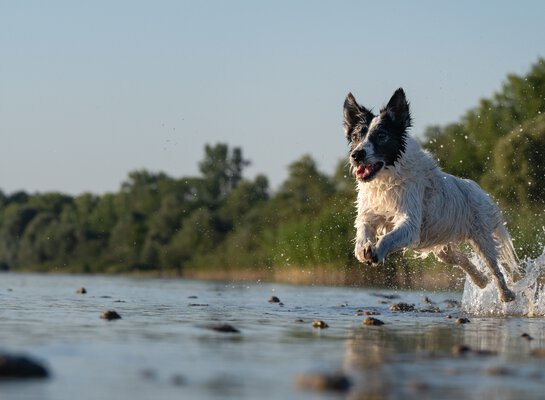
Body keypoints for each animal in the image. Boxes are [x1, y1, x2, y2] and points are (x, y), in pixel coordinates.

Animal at [344, 90, 520, 304]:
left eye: (381, 135)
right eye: (355, 136)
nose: (357, 154)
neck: (386, 178)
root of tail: (479, 189)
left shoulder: (410, 223)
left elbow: (388, 237)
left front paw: (377, 251)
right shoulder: (370, 213)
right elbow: (363, 228)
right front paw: (363, 249)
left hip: (482, 236)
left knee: (496, 268)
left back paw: (506, 294)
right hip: (441, 245)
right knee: (460, 258)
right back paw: (480, 280)